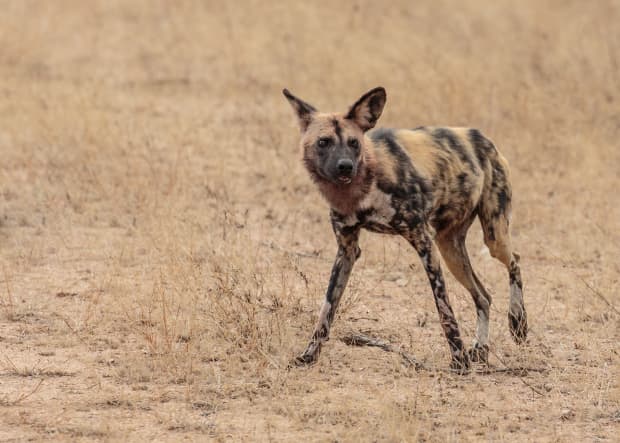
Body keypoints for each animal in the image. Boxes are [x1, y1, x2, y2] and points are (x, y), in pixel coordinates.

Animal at [284, 86, 524, 372]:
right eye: (323, 142)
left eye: (353, 143)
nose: (345, 166)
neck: (363, 188)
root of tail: (483, 137)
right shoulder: (347, 250)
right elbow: (326, 310)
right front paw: (309, 355)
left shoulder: (424, 244)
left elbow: (444, 310)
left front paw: (458, 360)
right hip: (450, 249)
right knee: (484, 296)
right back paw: (481, 348)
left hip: (492, 236)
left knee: (514, 261)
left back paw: (518, 323)